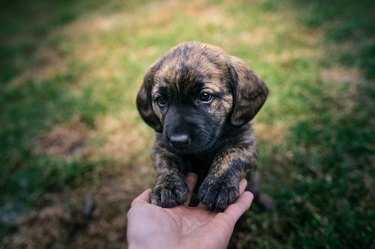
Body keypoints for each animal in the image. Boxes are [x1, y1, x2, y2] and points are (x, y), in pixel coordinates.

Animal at [137, 41, 272, 209]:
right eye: (161, 100)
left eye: (205, 96)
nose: (178, 140)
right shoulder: (161, 146)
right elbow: (166, 162)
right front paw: (167, 187)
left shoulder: (246, 144)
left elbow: (230, 155)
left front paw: (218, 185)